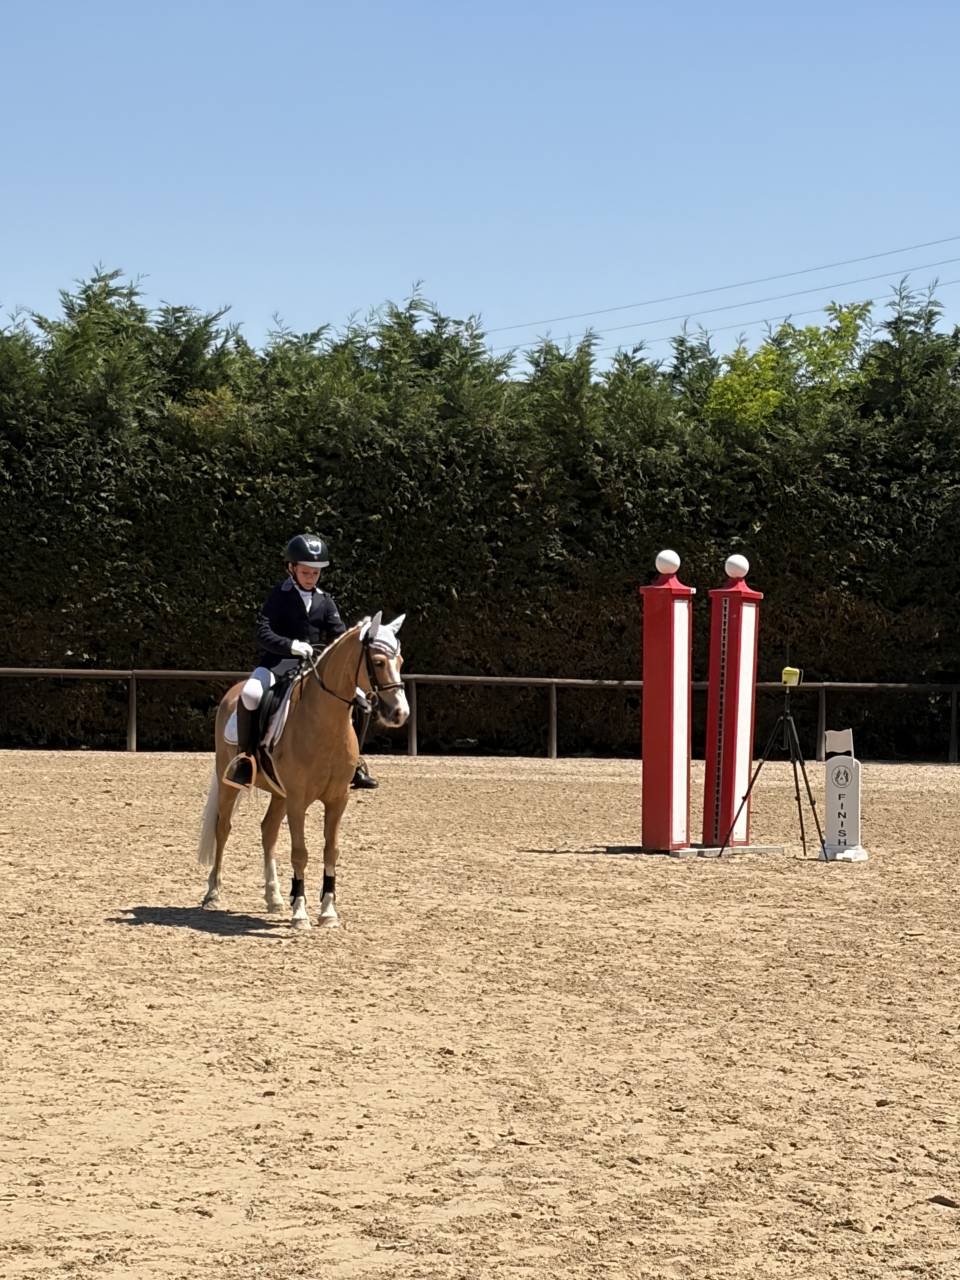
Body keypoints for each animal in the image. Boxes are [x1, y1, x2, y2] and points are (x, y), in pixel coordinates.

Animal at [196, 612, 409, 929]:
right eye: (380, 662)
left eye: (401, 662)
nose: (400, 713)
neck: (325, 724)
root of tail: (232, 693)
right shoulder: (298, 800)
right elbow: (300, 853)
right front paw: (300, 912)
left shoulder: (337, 799)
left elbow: (331, 850)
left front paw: (328, 912)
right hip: (230, 784)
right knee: (223, 829)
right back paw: (213, 893)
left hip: (279, 793)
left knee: (268, 832)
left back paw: (274, 898)